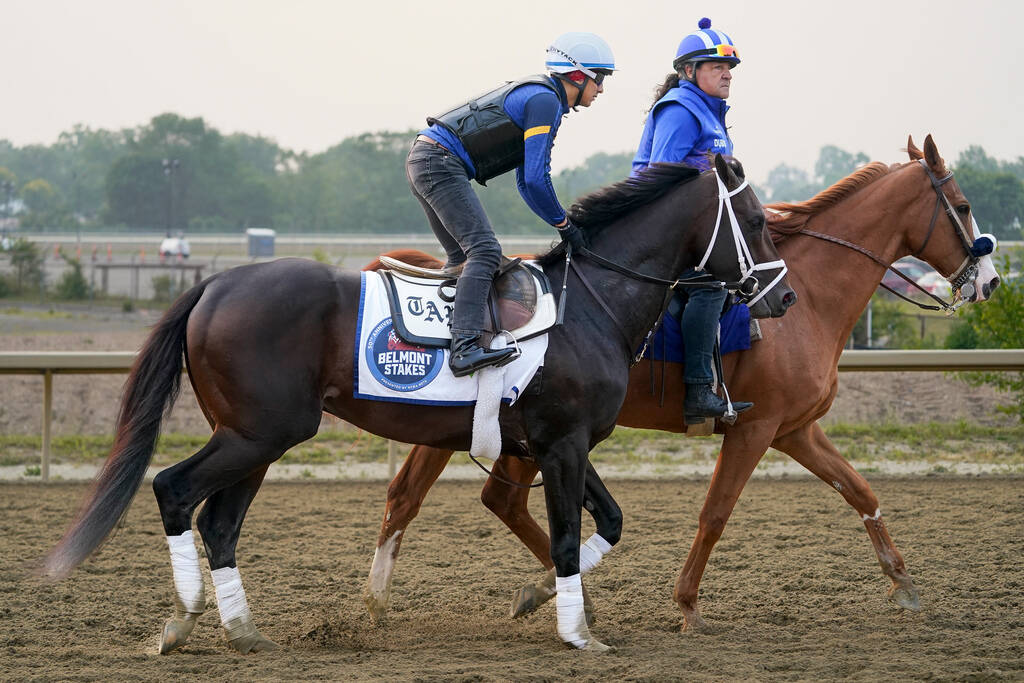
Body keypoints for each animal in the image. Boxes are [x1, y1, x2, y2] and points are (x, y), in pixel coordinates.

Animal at [39, 156, 794, 655]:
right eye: (759, 220)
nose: (783, 297)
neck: (590, 303)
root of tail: (214, 283)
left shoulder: (557, 443)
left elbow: (608, 520)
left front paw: (540, 595)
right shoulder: (563, 443)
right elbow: (570, 535)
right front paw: (577, 632)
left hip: (255, 435)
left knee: (219, 521)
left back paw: (242, 628)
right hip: (259, 432)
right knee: (174, 489)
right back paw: (186, 614)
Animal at [362, 135, 999, 630]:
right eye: (964, 205)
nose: (990, 281)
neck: (811, 295)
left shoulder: (795, 430)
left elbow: (860, 491)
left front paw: (905, 585)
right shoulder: (755, 428)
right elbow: (715, 512)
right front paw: (687, 603)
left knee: (459, 499)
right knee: (443, 497)